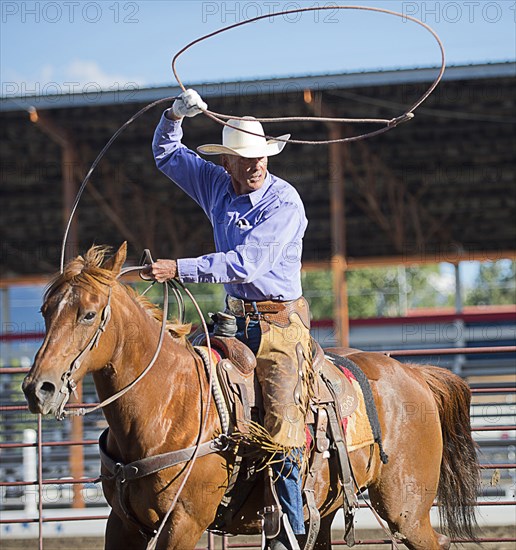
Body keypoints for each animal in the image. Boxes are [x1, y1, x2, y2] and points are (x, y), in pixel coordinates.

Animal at [20, 246, 480, 550]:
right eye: (45, 311)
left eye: (88, 313)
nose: (38, 388)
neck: (167, 403)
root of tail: (414, 373)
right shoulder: (122, 524)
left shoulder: (182, 523)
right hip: (329, 509)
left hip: (408, 510)